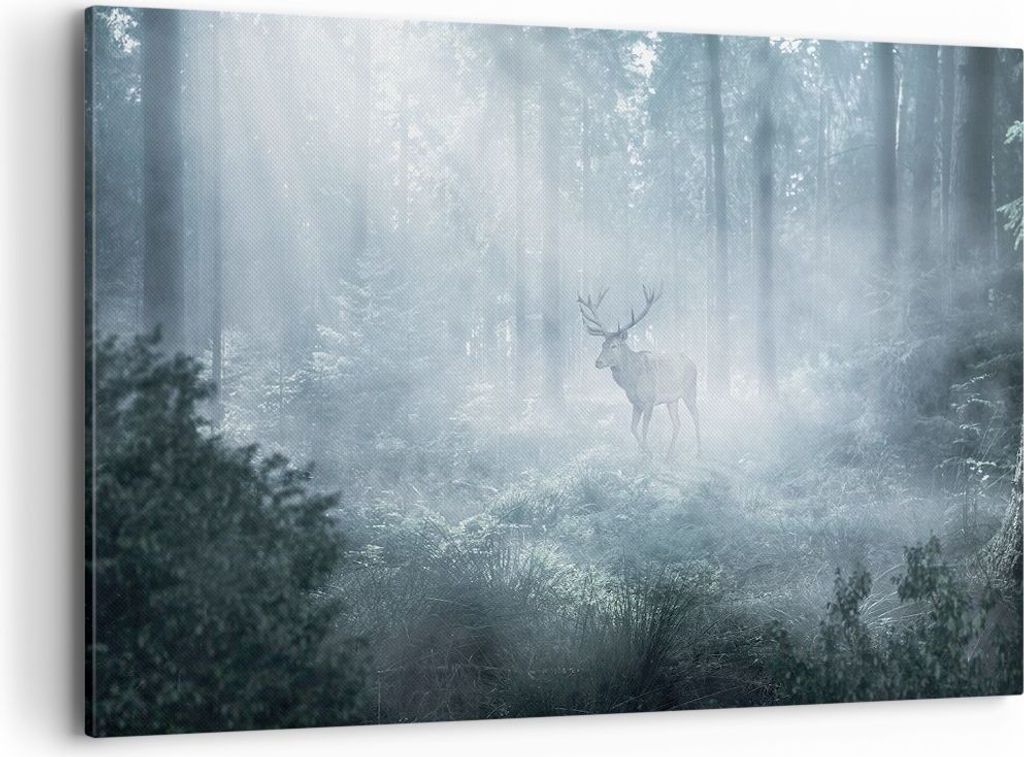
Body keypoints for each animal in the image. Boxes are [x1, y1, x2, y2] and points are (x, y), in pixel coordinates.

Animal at [578, 285, 701, 460]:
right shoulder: (636, 403)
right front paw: (644, 453)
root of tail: (693, 362)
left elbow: (643, 430)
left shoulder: (649, 401)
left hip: (690, 390)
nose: (598, 362)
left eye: (614, 345)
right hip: (672, 400)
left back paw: (699, 453)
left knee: (696, 417)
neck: (632, 380)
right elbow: (633, 428)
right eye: (602, 344)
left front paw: (648, 455)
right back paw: (669, 456)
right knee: (677, 423)